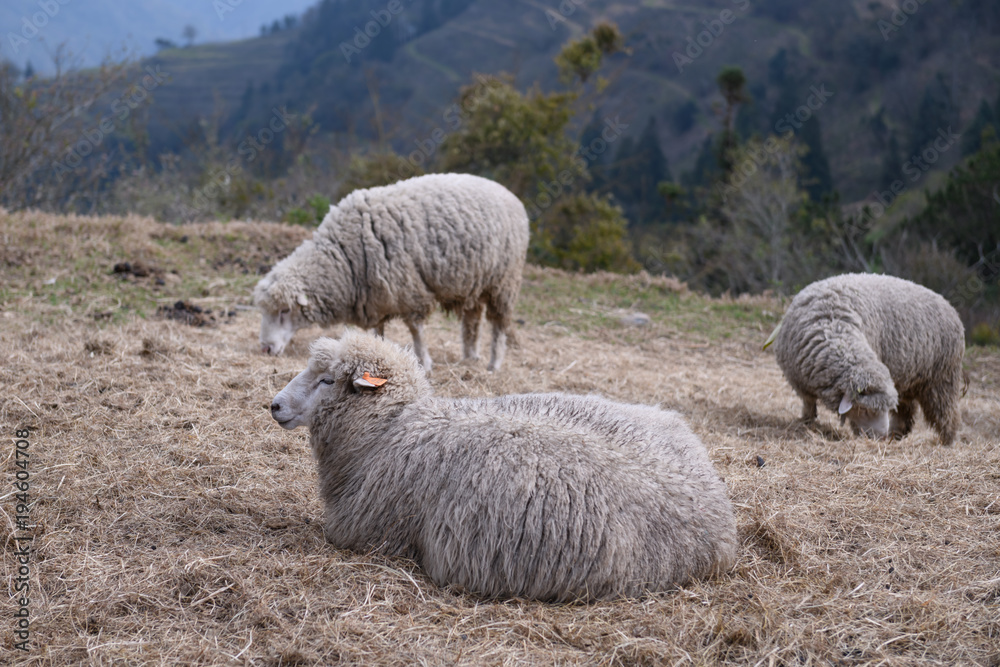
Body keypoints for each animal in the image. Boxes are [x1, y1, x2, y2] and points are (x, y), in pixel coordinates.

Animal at [254, 173, 529, 372]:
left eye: (285, 310)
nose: (265, 349)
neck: (343, 255)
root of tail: (511, 196)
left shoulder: (409, 289)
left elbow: (416, 330)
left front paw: (424, 362)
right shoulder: (376, 297)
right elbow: (378, 332)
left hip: (504, 281)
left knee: (499, 325)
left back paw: (494, 364)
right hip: (475, 281)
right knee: (472, 320)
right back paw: (470, 357)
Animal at [766, 273, 964, 445]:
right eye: (865, 410)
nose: (881, 437)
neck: (832, 324)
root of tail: (950, 307)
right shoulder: (800, 383)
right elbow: (808, 404)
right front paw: (806, 422)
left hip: (942, 381)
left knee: (947, 414)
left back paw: (947, 442)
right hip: (909, 379)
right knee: (906, 411)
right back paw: (897, 435)